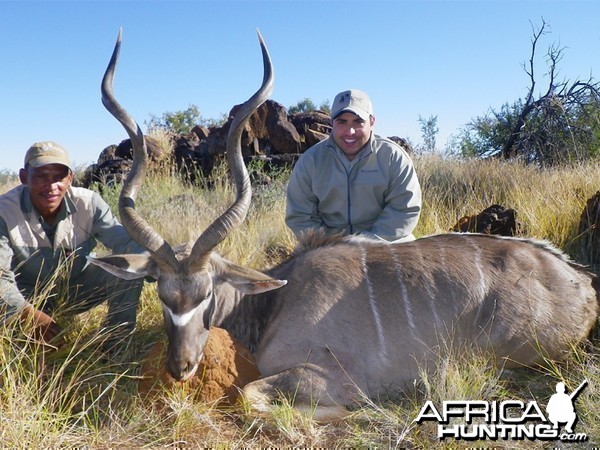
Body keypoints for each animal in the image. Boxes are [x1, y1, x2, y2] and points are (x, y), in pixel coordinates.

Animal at [91, 29, 596, 420]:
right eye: (161, 293)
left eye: (206, 295)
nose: (180, 367)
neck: (275, 299)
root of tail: (582, 280)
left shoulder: (326, 375)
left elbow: (250, 396)